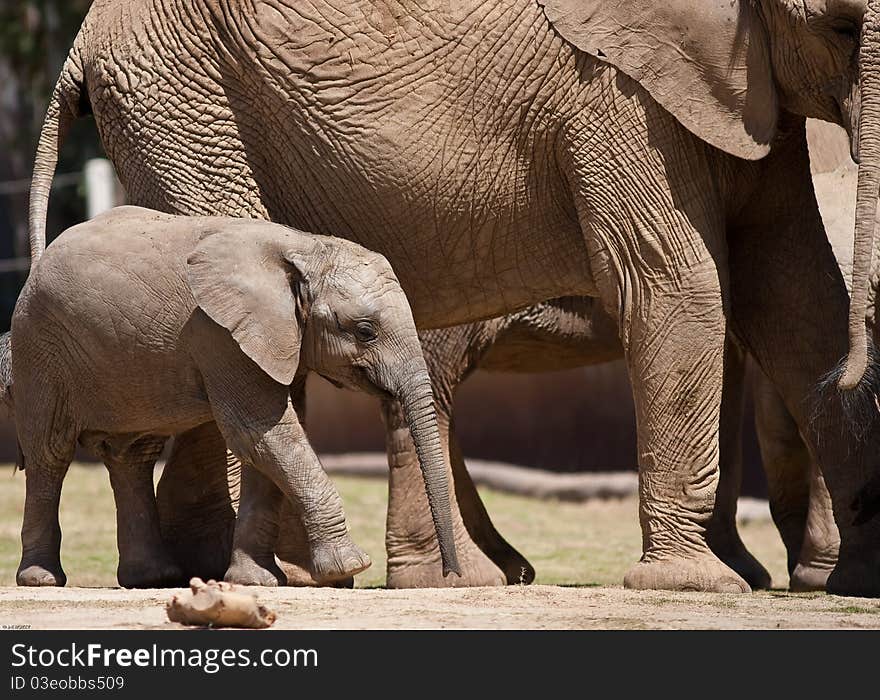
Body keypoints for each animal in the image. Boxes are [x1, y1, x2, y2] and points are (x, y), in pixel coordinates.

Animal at [12, 205, 460, 588]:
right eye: (365, 331)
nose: (450, 573)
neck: (304, 248)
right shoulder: (218, 333)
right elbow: (263, 432)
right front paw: (348, 567)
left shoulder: (272, 339)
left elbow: (268, 442)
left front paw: (255, 582)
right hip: (40, 349)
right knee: (50, 453)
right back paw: (41, 579)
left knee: (132, 455)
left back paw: (154, 578)